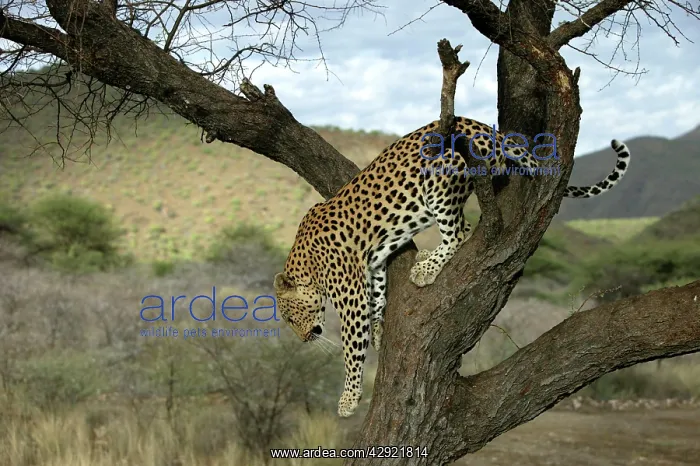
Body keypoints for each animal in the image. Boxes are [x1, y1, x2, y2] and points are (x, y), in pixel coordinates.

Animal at [273, 116, 631, 417]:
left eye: (290, 317)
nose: (303, 340)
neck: (305, 263)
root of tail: (483, 127)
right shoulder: (371, 269)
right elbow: (377, 298)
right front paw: (377, 331)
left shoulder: (349, 296)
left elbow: (351, 347)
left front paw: (348, 399)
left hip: (443, 179)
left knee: (460, 231)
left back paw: (426, 268)